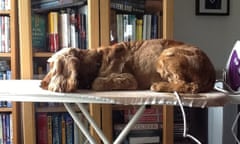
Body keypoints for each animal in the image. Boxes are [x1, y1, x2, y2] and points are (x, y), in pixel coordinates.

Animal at [39, 38, 216, 93]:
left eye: (51, 66)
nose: (42, 83)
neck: (96, 60)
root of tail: (212, 71)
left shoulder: (129, 79)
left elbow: (97, 82)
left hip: (166, 55)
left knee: (189, 86)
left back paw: (159, 86)